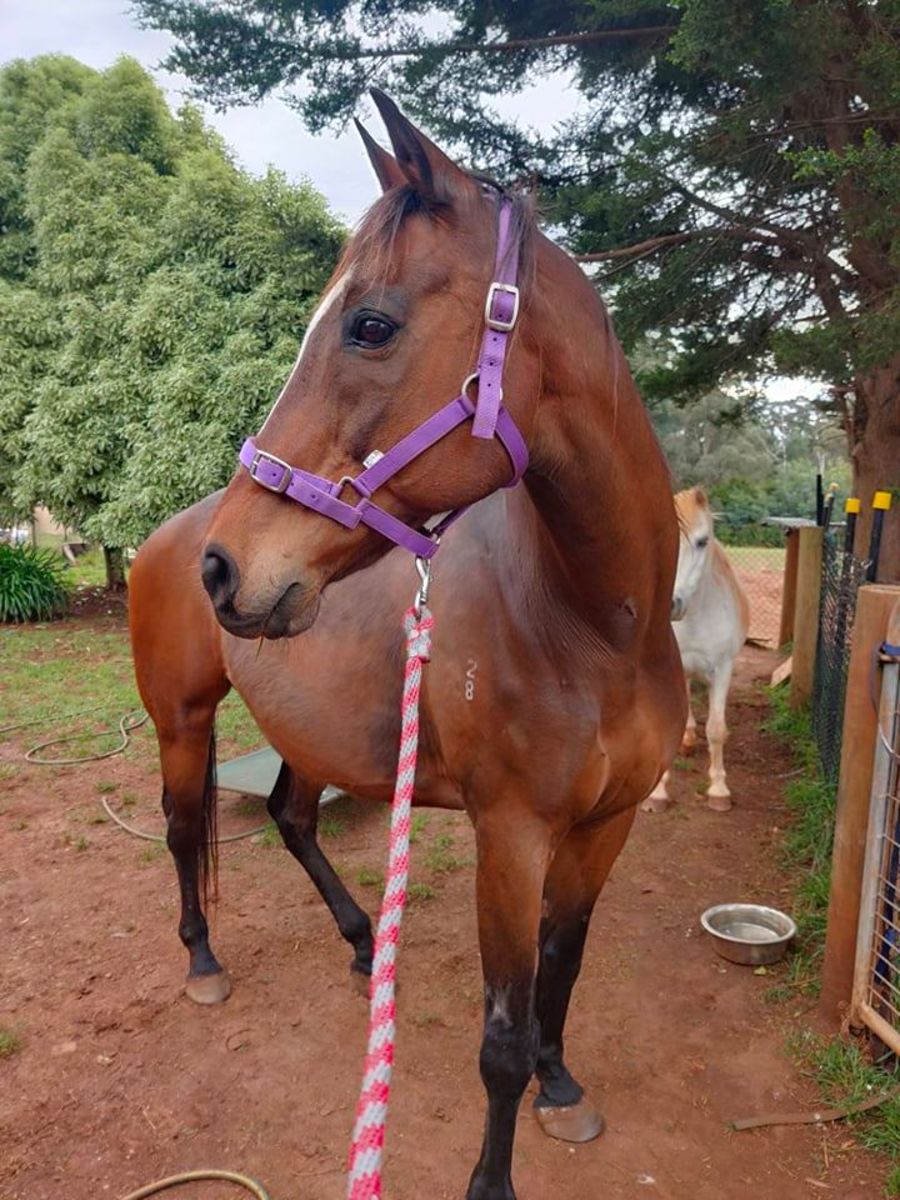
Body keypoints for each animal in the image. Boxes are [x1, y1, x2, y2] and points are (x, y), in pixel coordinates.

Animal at [128, 91, 685, 1200]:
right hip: (182, 721)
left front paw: (563, 1083)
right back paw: (204, 962)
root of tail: (166, 536)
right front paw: (493, 1177)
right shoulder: (510, 837)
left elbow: (564, 967)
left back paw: (357, 944)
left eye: (370, 324)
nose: (224, 570)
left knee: (293, 818)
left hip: (304, 728)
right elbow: (499, 1038)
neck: (597, 629)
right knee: (178, 829)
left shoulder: (606, 826)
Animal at [642, 486, 749, 815]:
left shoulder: (724, 668)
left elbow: (716, 729)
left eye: (702, 541)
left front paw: (719, 791)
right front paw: (658, 794)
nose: (671, 604)